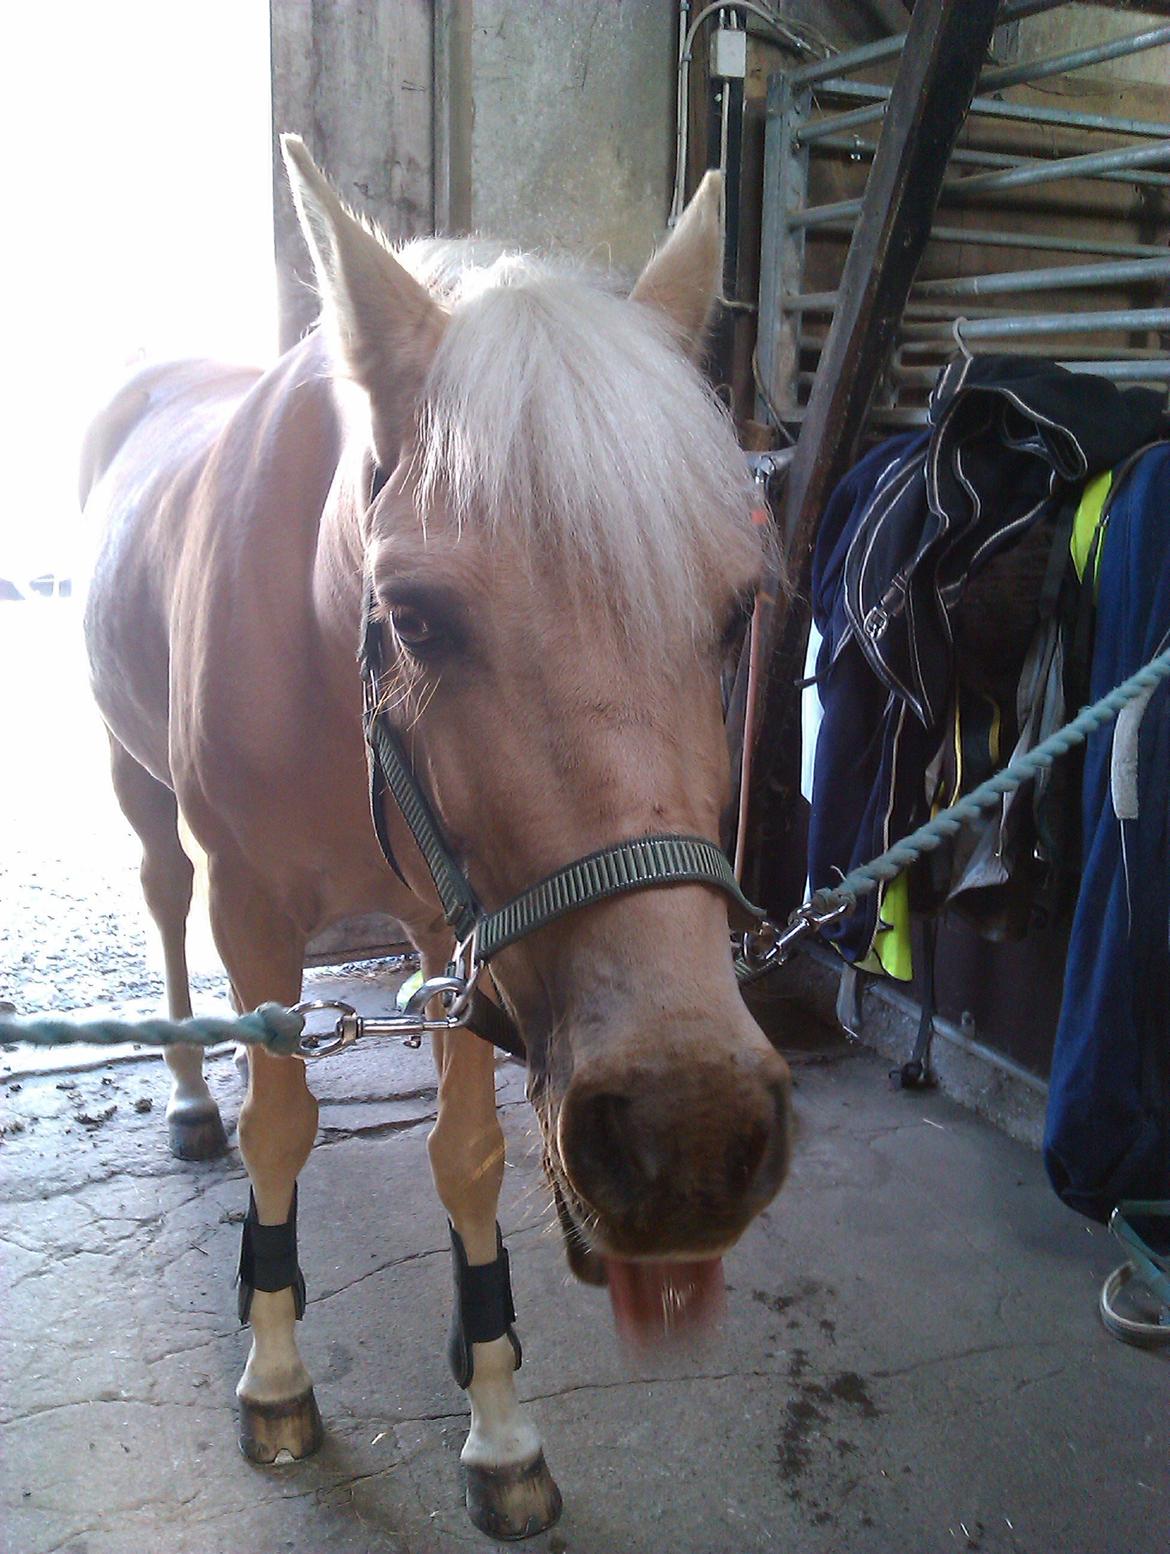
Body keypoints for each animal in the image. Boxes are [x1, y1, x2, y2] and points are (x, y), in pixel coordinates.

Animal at [82, 136, 789, 1541]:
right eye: (411, 616)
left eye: (738, 610)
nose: (686, 1140)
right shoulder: (257, 915)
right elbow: (281, 1130)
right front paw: (277, 1374)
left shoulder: (452, 929)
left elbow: (465, 1159)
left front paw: (500, 1423)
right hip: (143, 791)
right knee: (163, 903)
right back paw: (185, 1094)